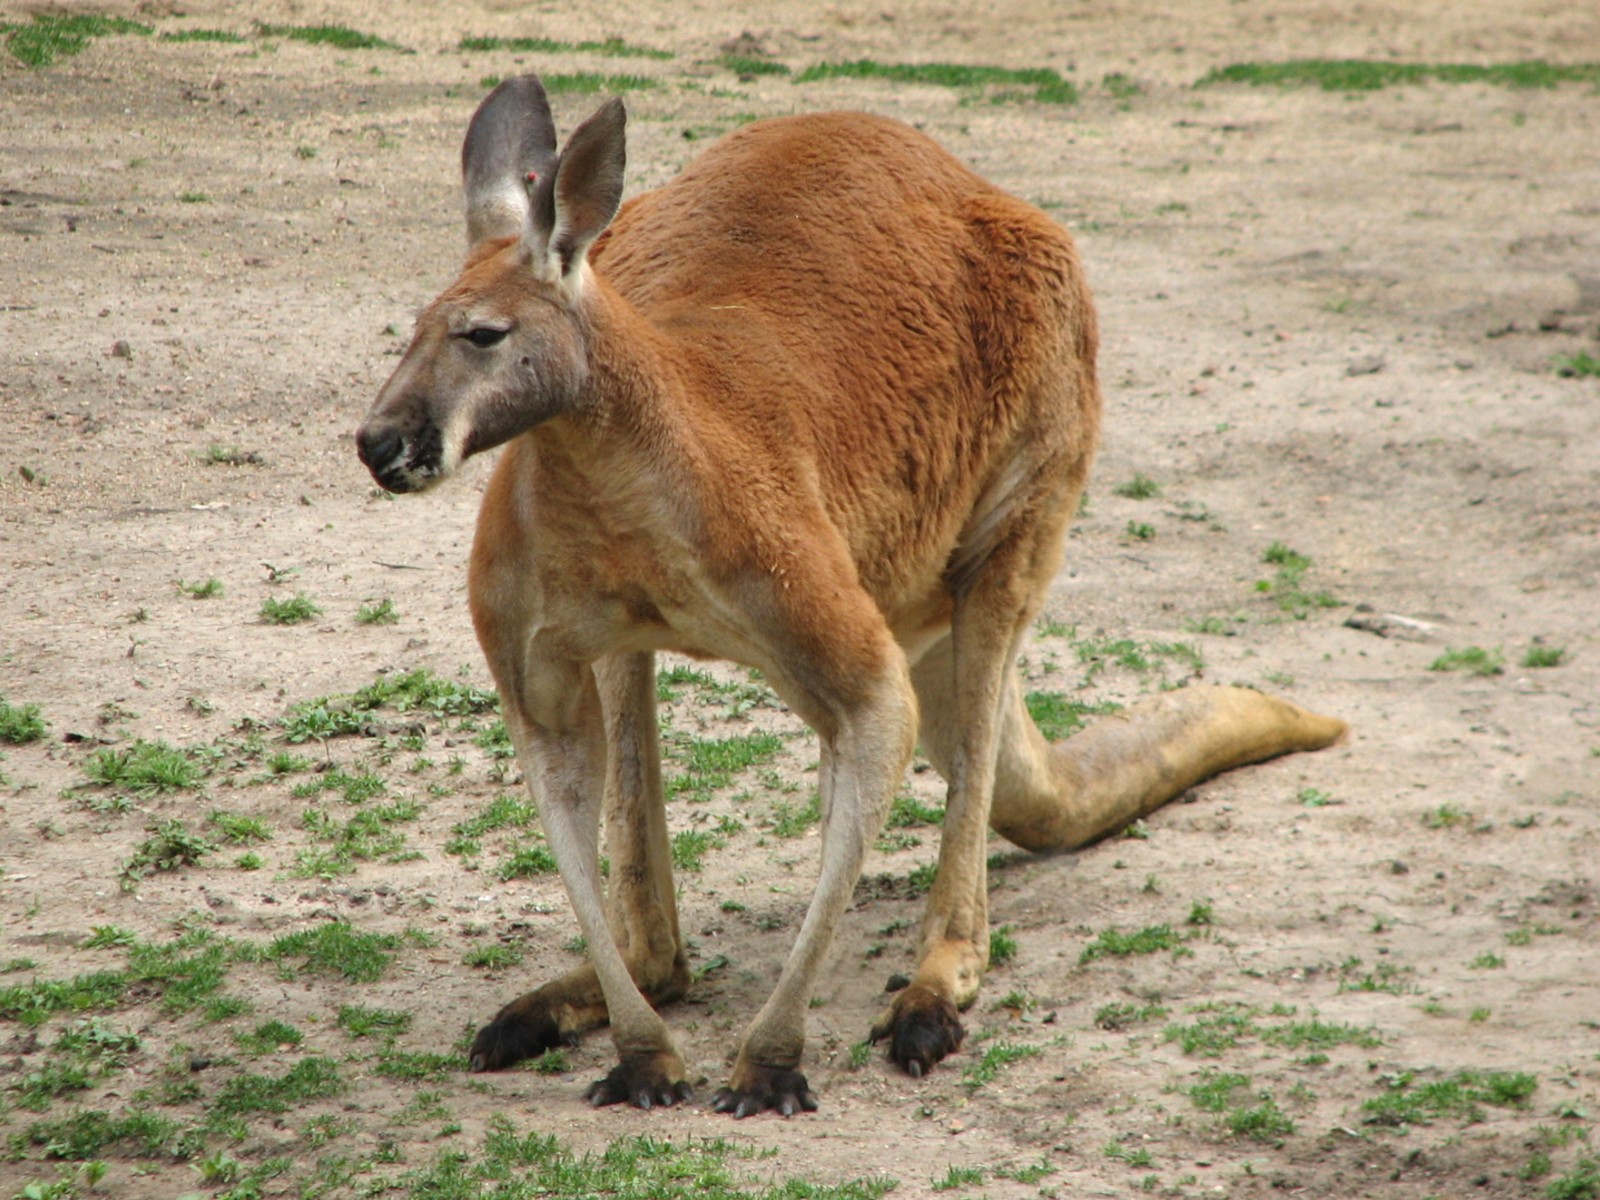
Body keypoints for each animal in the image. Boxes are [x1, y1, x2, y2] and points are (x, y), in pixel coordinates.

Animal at [356, 75, 1346, 1118]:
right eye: (408, 333)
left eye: (483, 336)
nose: (377, 445)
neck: (610, 457)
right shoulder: (528, 635)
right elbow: (560, 778)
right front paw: (646, 1058)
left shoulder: (813, 601)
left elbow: (879, 726)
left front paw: (769, 1066)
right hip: (656, 627)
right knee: (652, 882)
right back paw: (568, 1004)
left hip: (1034, 465)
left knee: (979, 687)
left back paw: (929, 996)